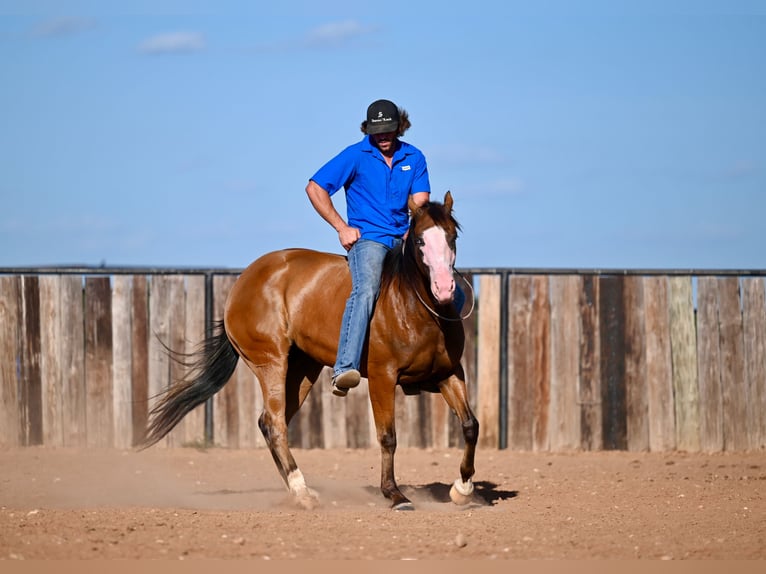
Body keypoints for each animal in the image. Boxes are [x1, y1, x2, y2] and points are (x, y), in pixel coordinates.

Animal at [142, 192, 480, 512]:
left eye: (453, 236)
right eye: (420, 240)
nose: (444, 288)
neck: (413, 306)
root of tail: (245, 281)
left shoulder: (450, 373)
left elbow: (470, 425)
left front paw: (462, 490)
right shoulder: (382, 377)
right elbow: (388, 437)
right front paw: (395, 495)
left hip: (302, 369)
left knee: (269, 422)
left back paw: (297, 490)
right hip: (271, 362)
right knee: (275, 422)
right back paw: (302, 493)